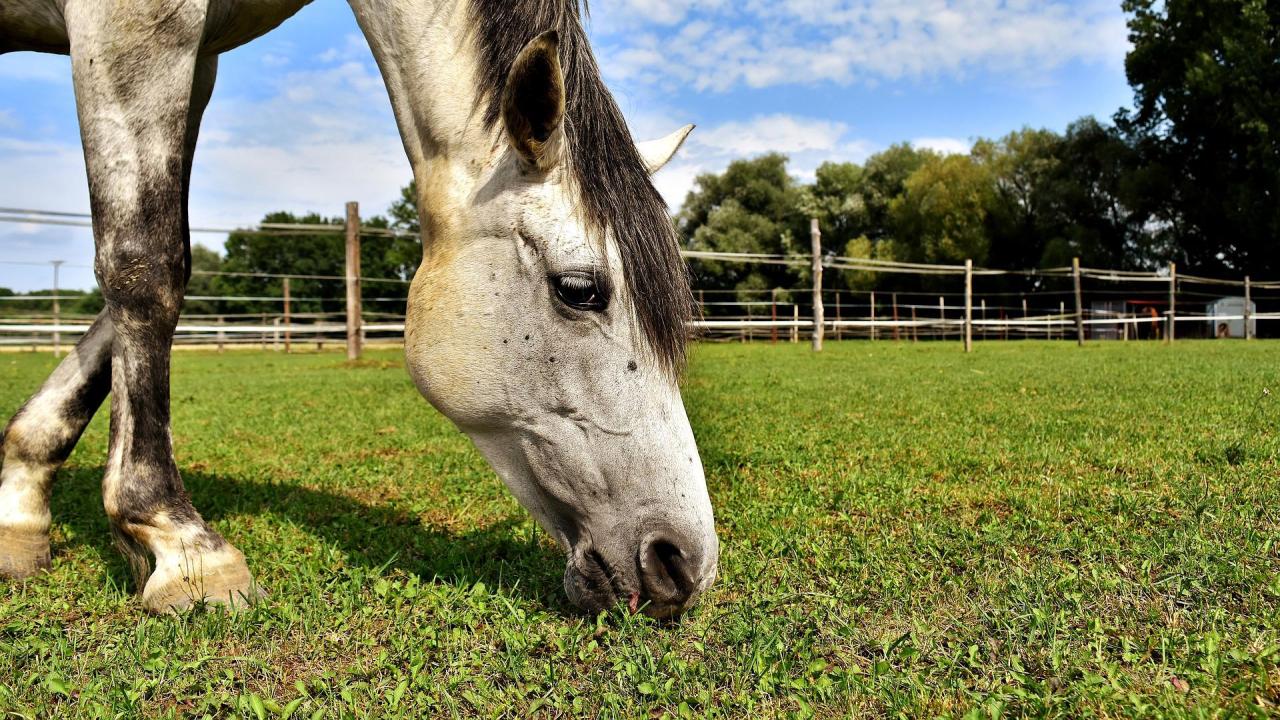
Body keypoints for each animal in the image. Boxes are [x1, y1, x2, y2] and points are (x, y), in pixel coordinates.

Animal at [0, 0, 718, 619]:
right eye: (578, 289)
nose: (683, 563)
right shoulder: (132, 23)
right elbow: (146, 263)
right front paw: (182, 545)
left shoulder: (198, 54)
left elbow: (147, 271)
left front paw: (20, 504)